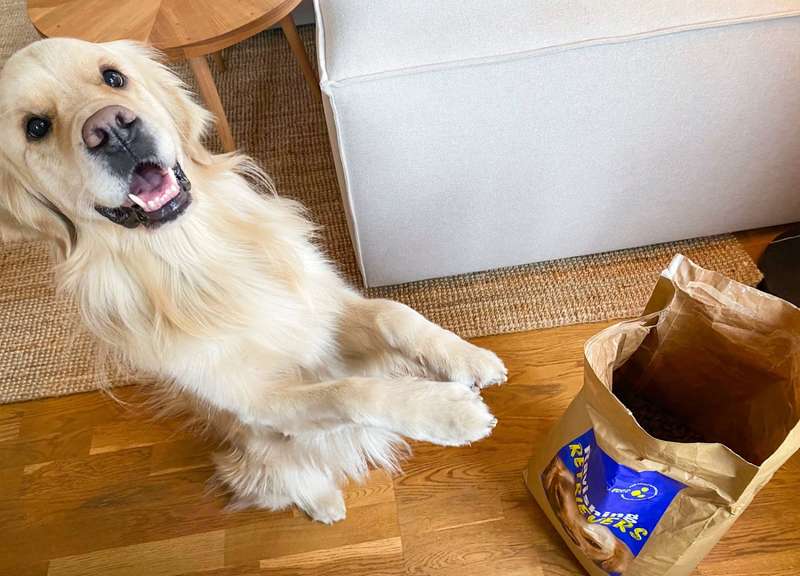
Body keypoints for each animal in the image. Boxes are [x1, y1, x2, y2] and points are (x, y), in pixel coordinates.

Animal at [0, 39, 506, 520]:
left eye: (113, 77)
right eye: (36, 127)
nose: (113, 128)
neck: (196, 251)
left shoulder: (324, 307)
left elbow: (394, 313)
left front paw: (470, 358)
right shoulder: (261, 401)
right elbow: (348, 390)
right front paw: (446, 410)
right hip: (259, 459)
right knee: (291, 483)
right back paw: (326, 506)